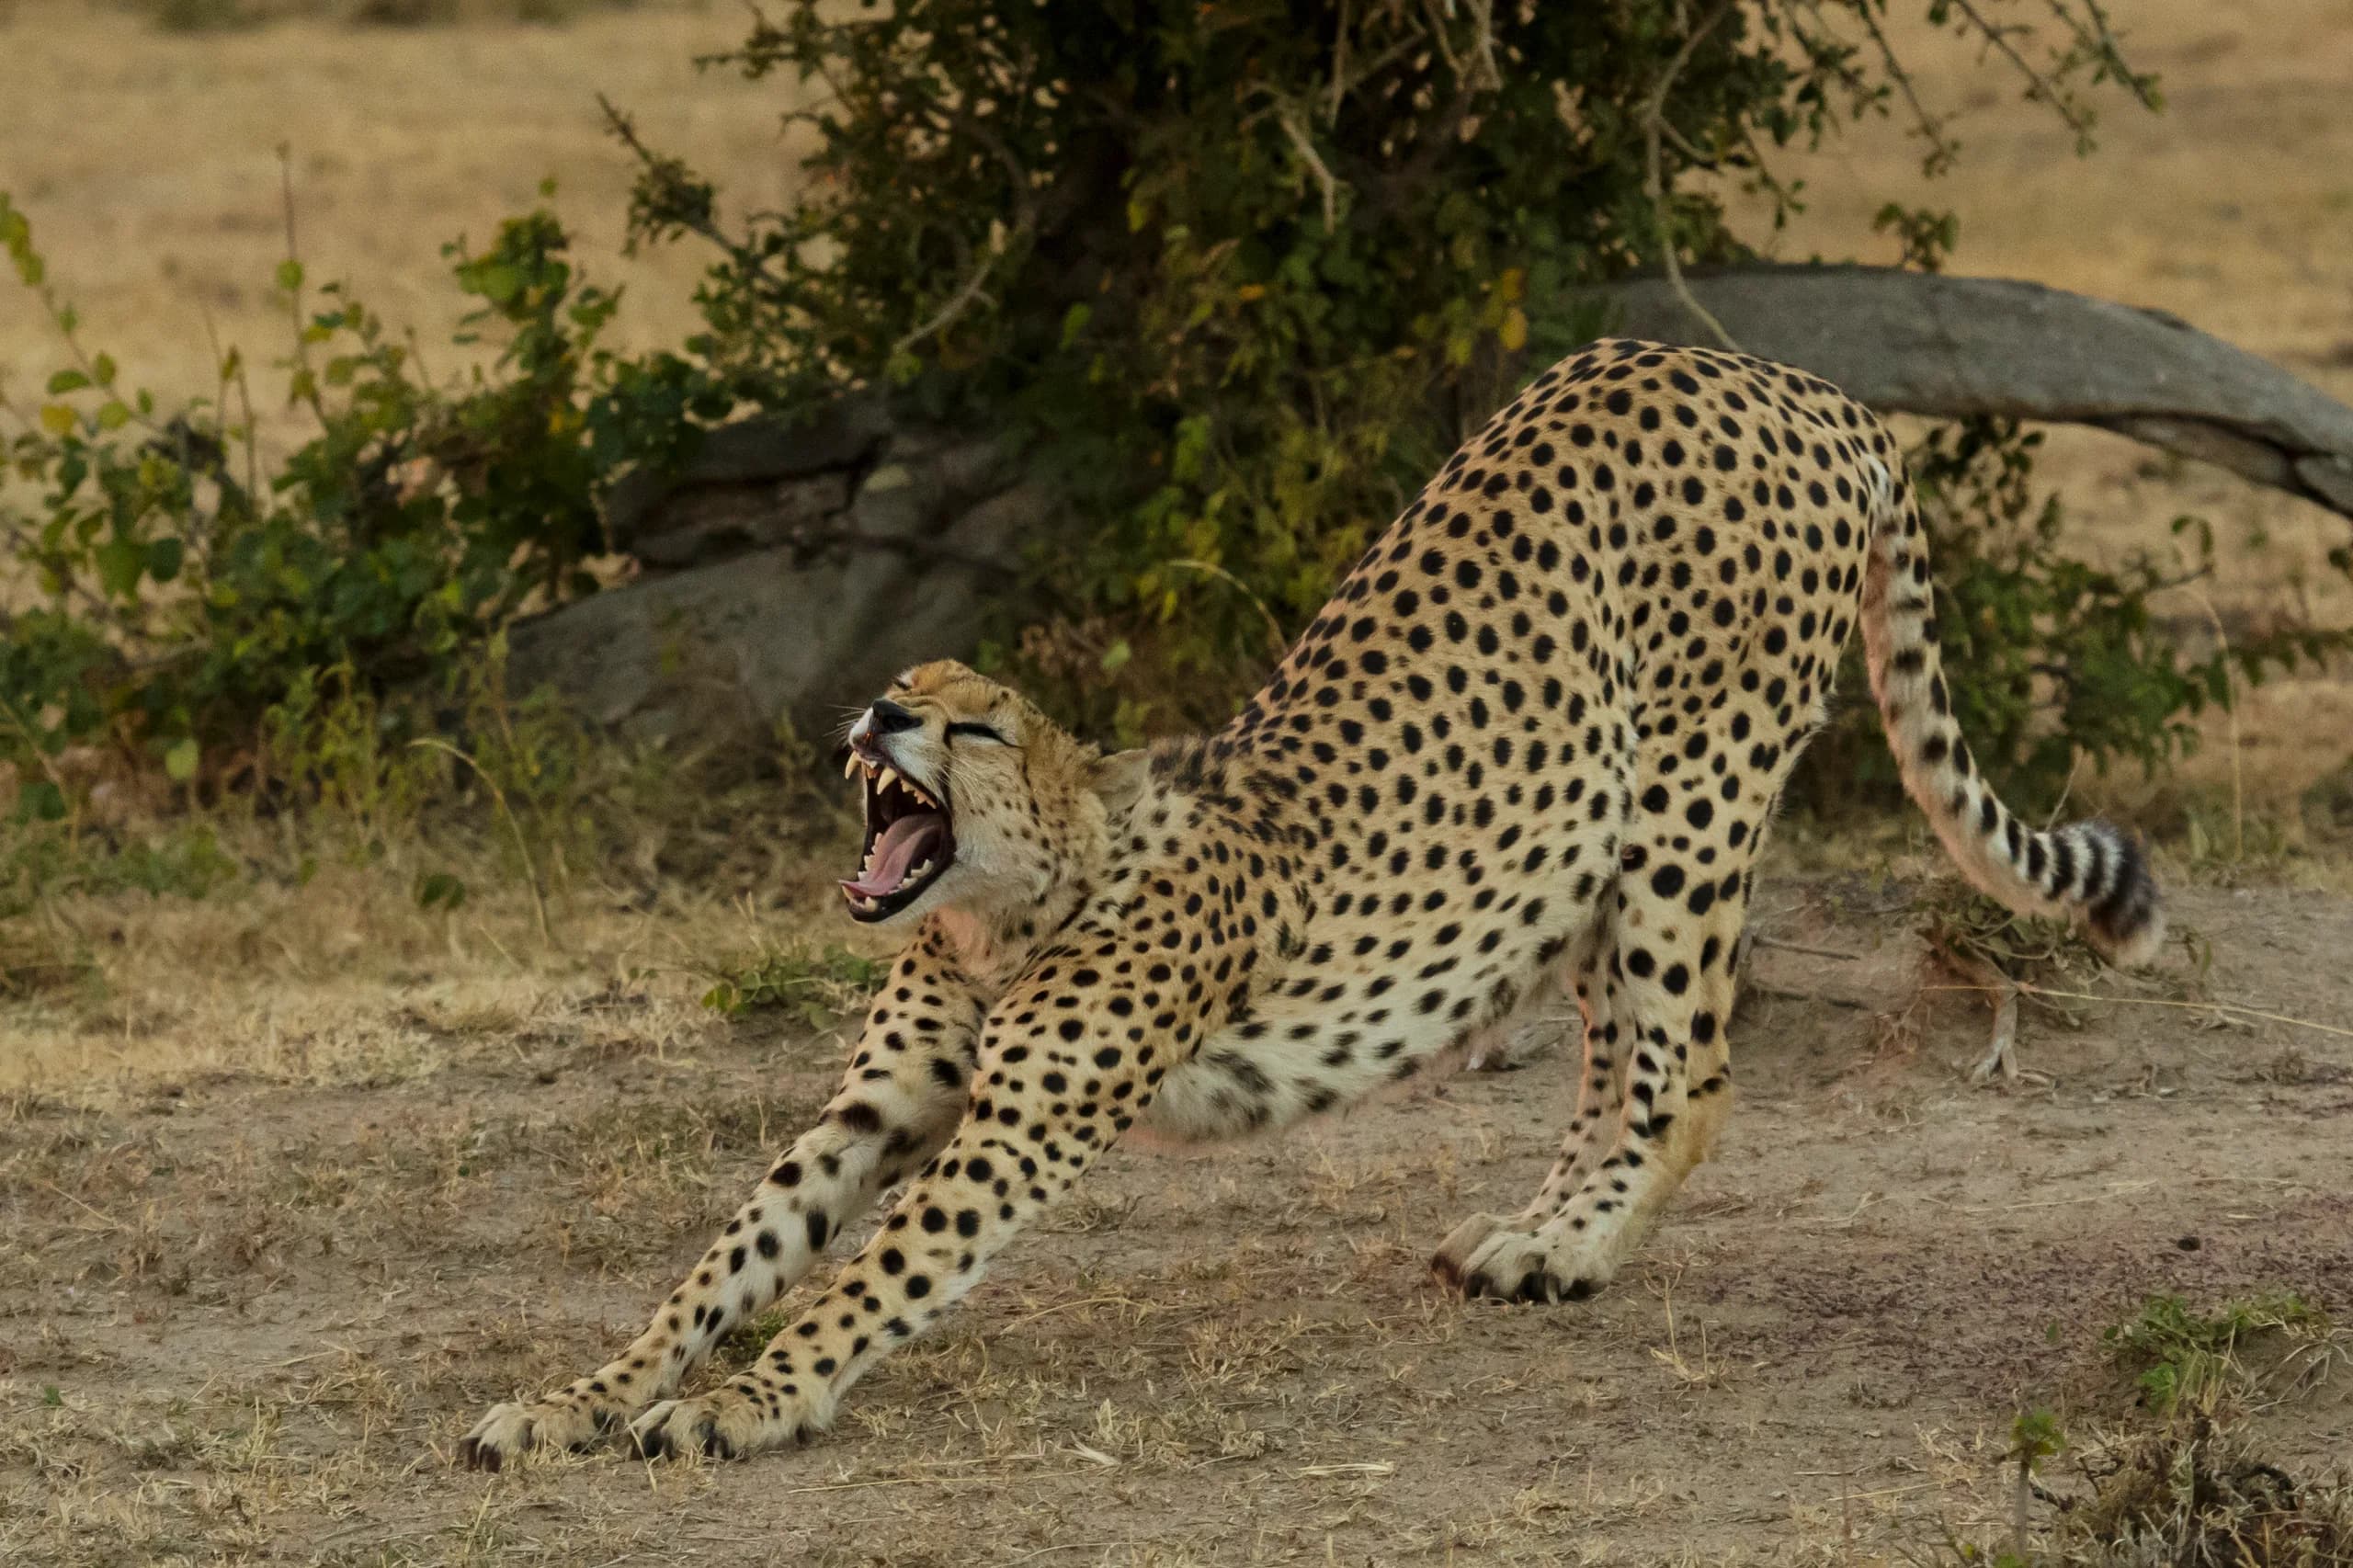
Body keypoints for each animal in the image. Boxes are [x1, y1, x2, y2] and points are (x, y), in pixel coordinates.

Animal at [458, 338, 2162, 1469]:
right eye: (902, 683)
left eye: (977, 723)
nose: (878, 717)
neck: (1013, 906)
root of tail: (1785, 377)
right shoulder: (877, 1102)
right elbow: (728, 1257)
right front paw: (576, 1397)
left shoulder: (1018, 1122)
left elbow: (872, 1271)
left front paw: (746, 1400)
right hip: (1588, 847)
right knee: (1615, 1056)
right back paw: (1537, 1237)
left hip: (1695, 796)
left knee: (1691, 1072)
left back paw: (1578, 1248)